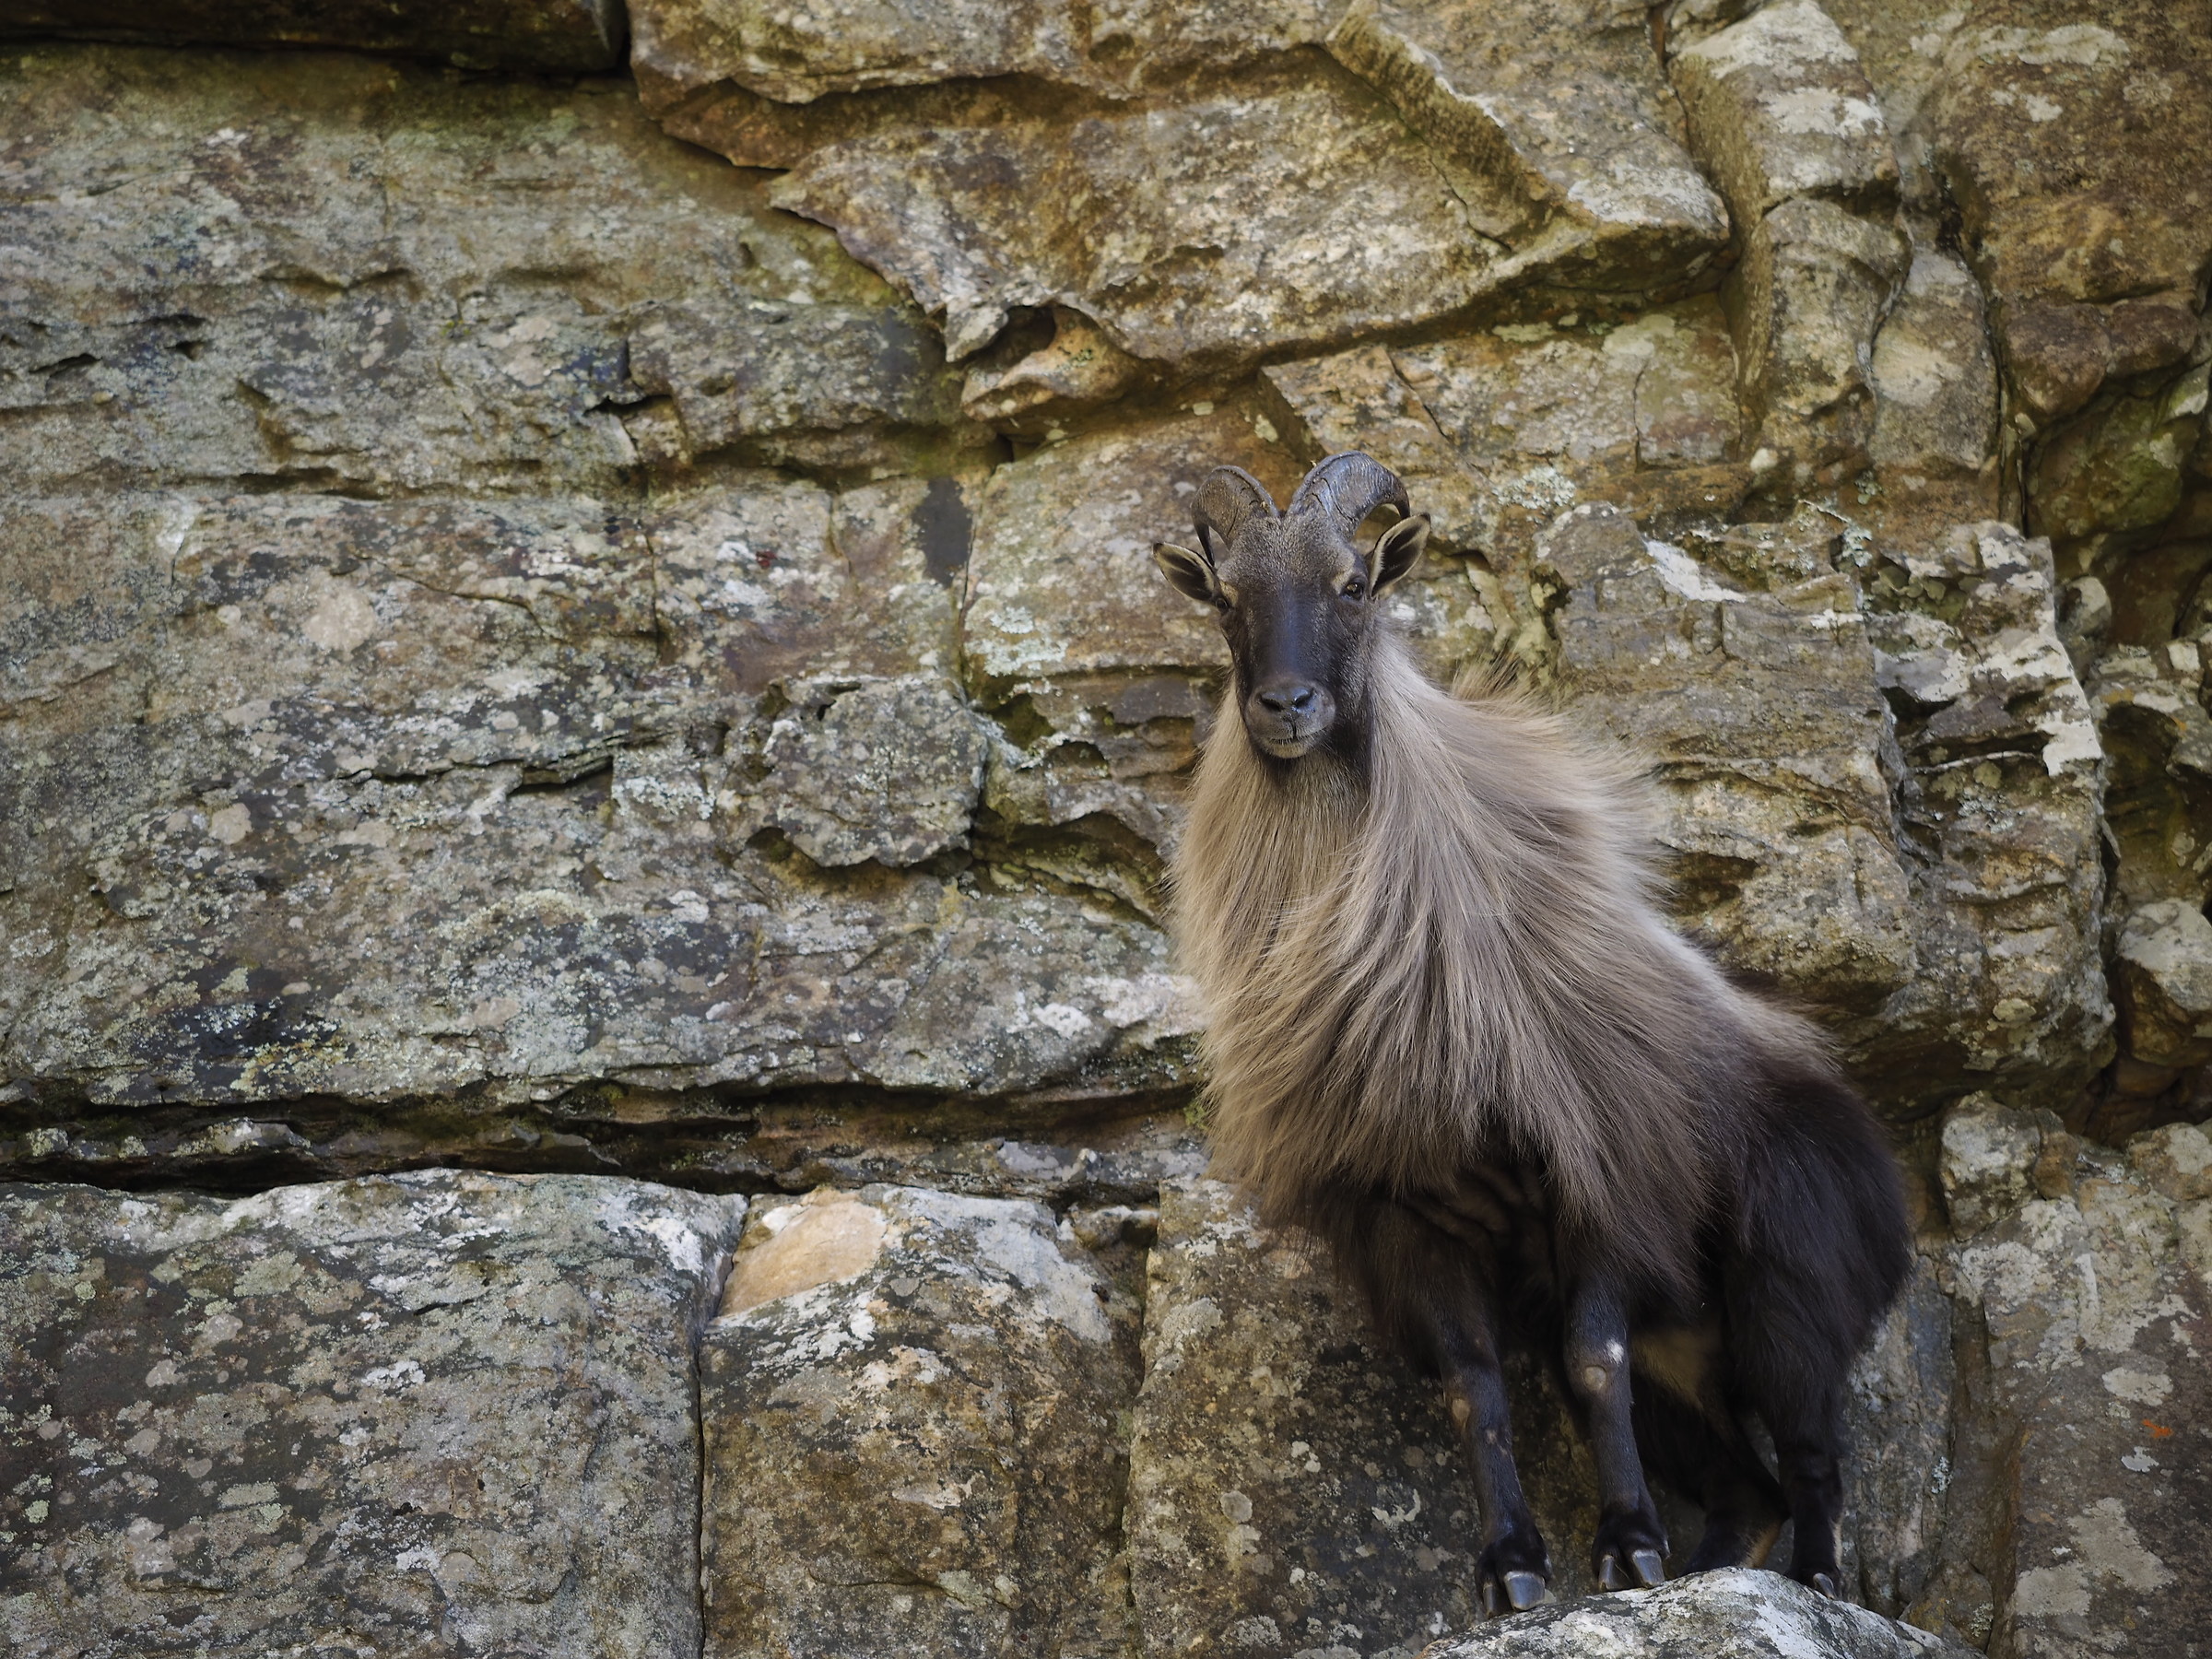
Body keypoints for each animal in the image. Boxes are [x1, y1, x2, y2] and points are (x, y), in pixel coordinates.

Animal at [1153, 452, 1912, 1614]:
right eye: (1228, 598)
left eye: (1353, 586)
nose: (1284, 705)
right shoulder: (1411, 1220)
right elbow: (1477, 1390)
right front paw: (1514, 1565)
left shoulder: (1595, 1182)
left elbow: (1594, 1361)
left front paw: (1628, 1546)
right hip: (1688, 1358)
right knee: (1749, 1488)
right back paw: (1707, 1565)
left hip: (1791, 1290)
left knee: (1812, 1453)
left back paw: (1817, 1581)